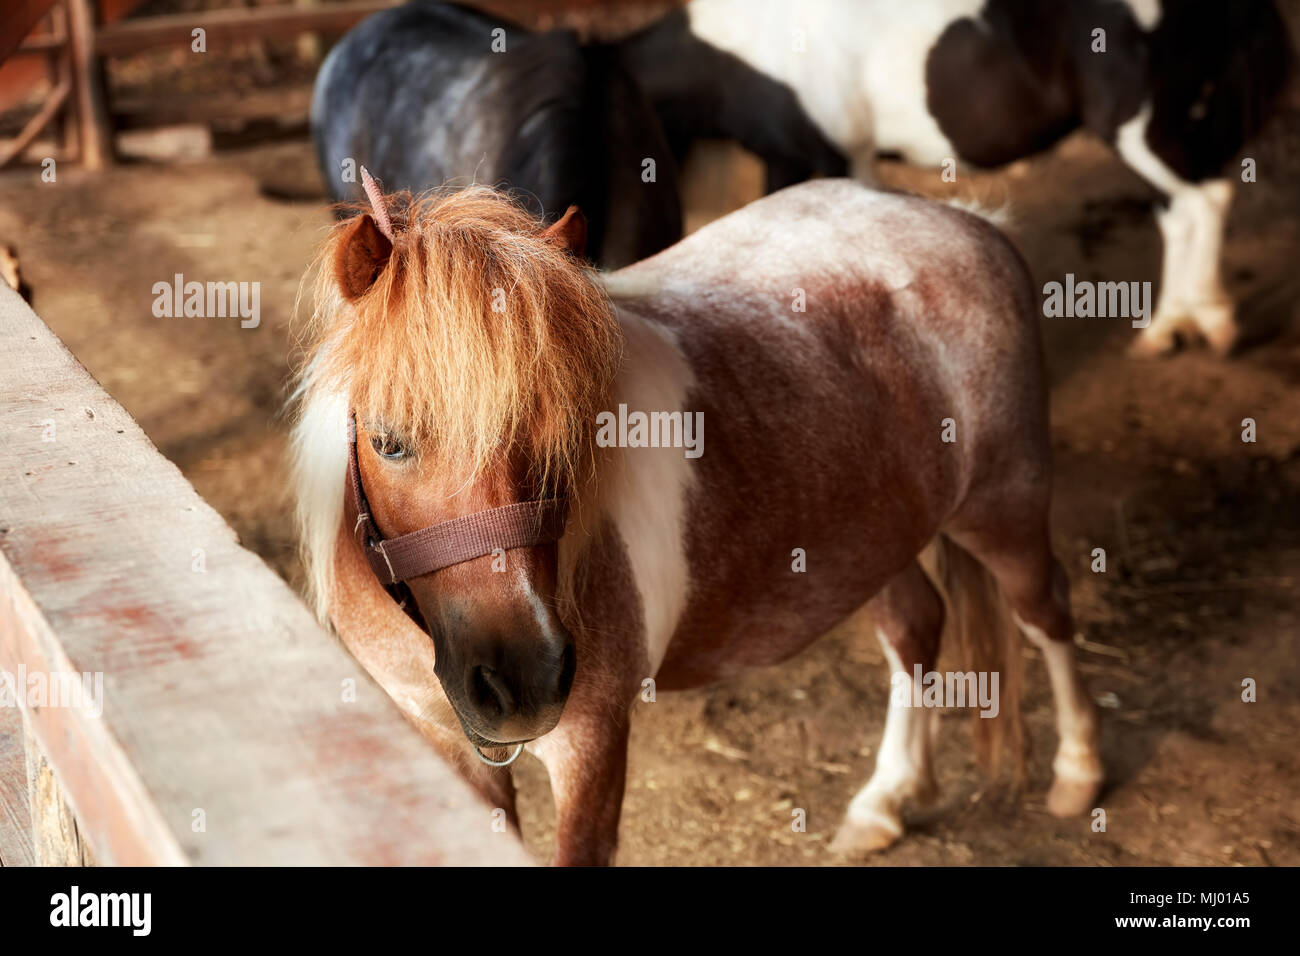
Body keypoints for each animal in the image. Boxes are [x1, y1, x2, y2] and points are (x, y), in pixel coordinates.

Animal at [292, 179, 1097, 868]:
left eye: (565, 436)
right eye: (389, 441)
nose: (523, 682)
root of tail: (968, 221)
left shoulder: (590, 745)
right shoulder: (438, 740)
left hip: (1005, 510)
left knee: (1046, 611)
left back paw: (1077, 773)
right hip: (876, 538)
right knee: (916, 630)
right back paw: (888, 800)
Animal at [621, 0, 1289, 356]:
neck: (741, 51)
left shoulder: (829, 155)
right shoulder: (800, 156)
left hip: (1140, 124)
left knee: (1201, 202)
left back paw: (1194, 324)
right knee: (1185, 208)